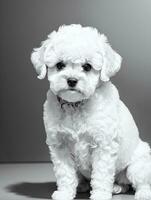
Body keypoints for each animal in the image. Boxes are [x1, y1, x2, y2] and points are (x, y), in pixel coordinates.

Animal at [30, 24, 151, 199]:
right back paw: (95, 186)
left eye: (87, 67)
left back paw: (141, 192)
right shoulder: (60, 146)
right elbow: (65, 173)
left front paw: (100, 195)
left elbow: (101, 175)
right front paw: (65, 193)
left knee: (140, 181)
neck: (75, 105)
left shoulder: (103, 146)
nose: (72, 80)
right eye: (59, 65)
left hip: (137, 164)